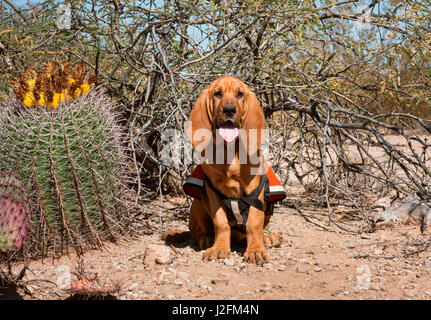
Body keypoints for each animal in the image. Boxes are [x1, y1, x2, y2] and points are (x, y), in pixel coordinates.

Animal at [163, 76, 284, 264]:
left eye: (240, 94)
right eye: (217, 93)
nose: (229, 110)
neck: (230, 152)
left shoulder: (256, 192)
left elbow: (254, 223)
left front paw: (255, 250)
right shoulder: (213, 192)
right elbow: (221, 223)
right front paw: (219, 248)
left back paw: (267, 238)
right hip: (198, 203)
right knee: (197, 231)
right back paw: (206, 238)